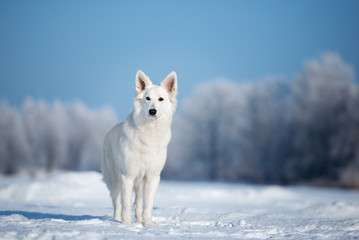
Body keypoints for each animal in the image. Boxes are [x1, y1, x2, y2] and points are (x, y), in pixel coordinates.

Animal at [102, 70, 178, 227]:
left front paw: (147, 225)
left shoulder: (152, 177)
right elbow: (125, 204)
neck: (149, 133)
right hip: (115, 180)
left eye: (161, 99)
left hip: (140, 183)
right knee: (117, 203)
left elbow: (147, 205)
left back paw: (139, 220)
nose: (152, 111)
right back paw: (117, 220)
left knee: (137, 203)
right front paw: (125, 224)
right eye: (147, 98)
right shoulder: (127, 175)